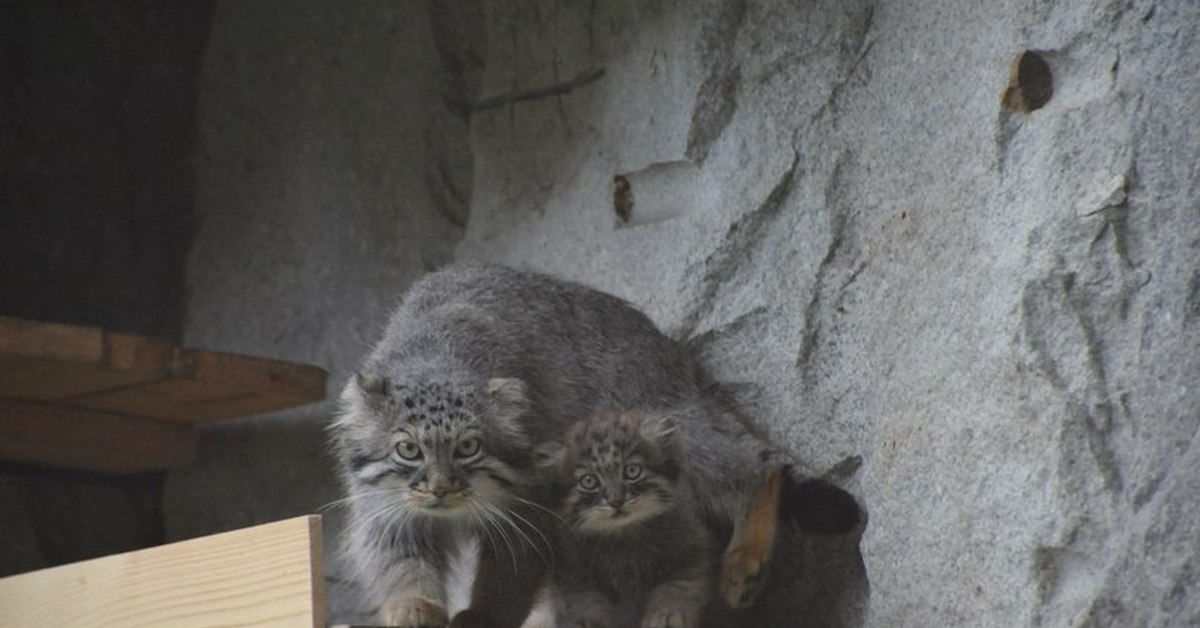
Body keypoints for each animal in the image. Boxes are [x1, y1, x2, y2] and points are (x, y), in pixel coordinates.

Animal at [537, 410, 710, 628]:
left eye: (632, 471)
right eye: (589, 481)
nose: (616, 501)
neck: (624, 536)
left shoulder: (691, 551)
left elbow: (677, 587)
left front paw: (665, 615)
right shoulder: (574, 573)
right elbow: (585, 601)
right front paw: (589, 621)